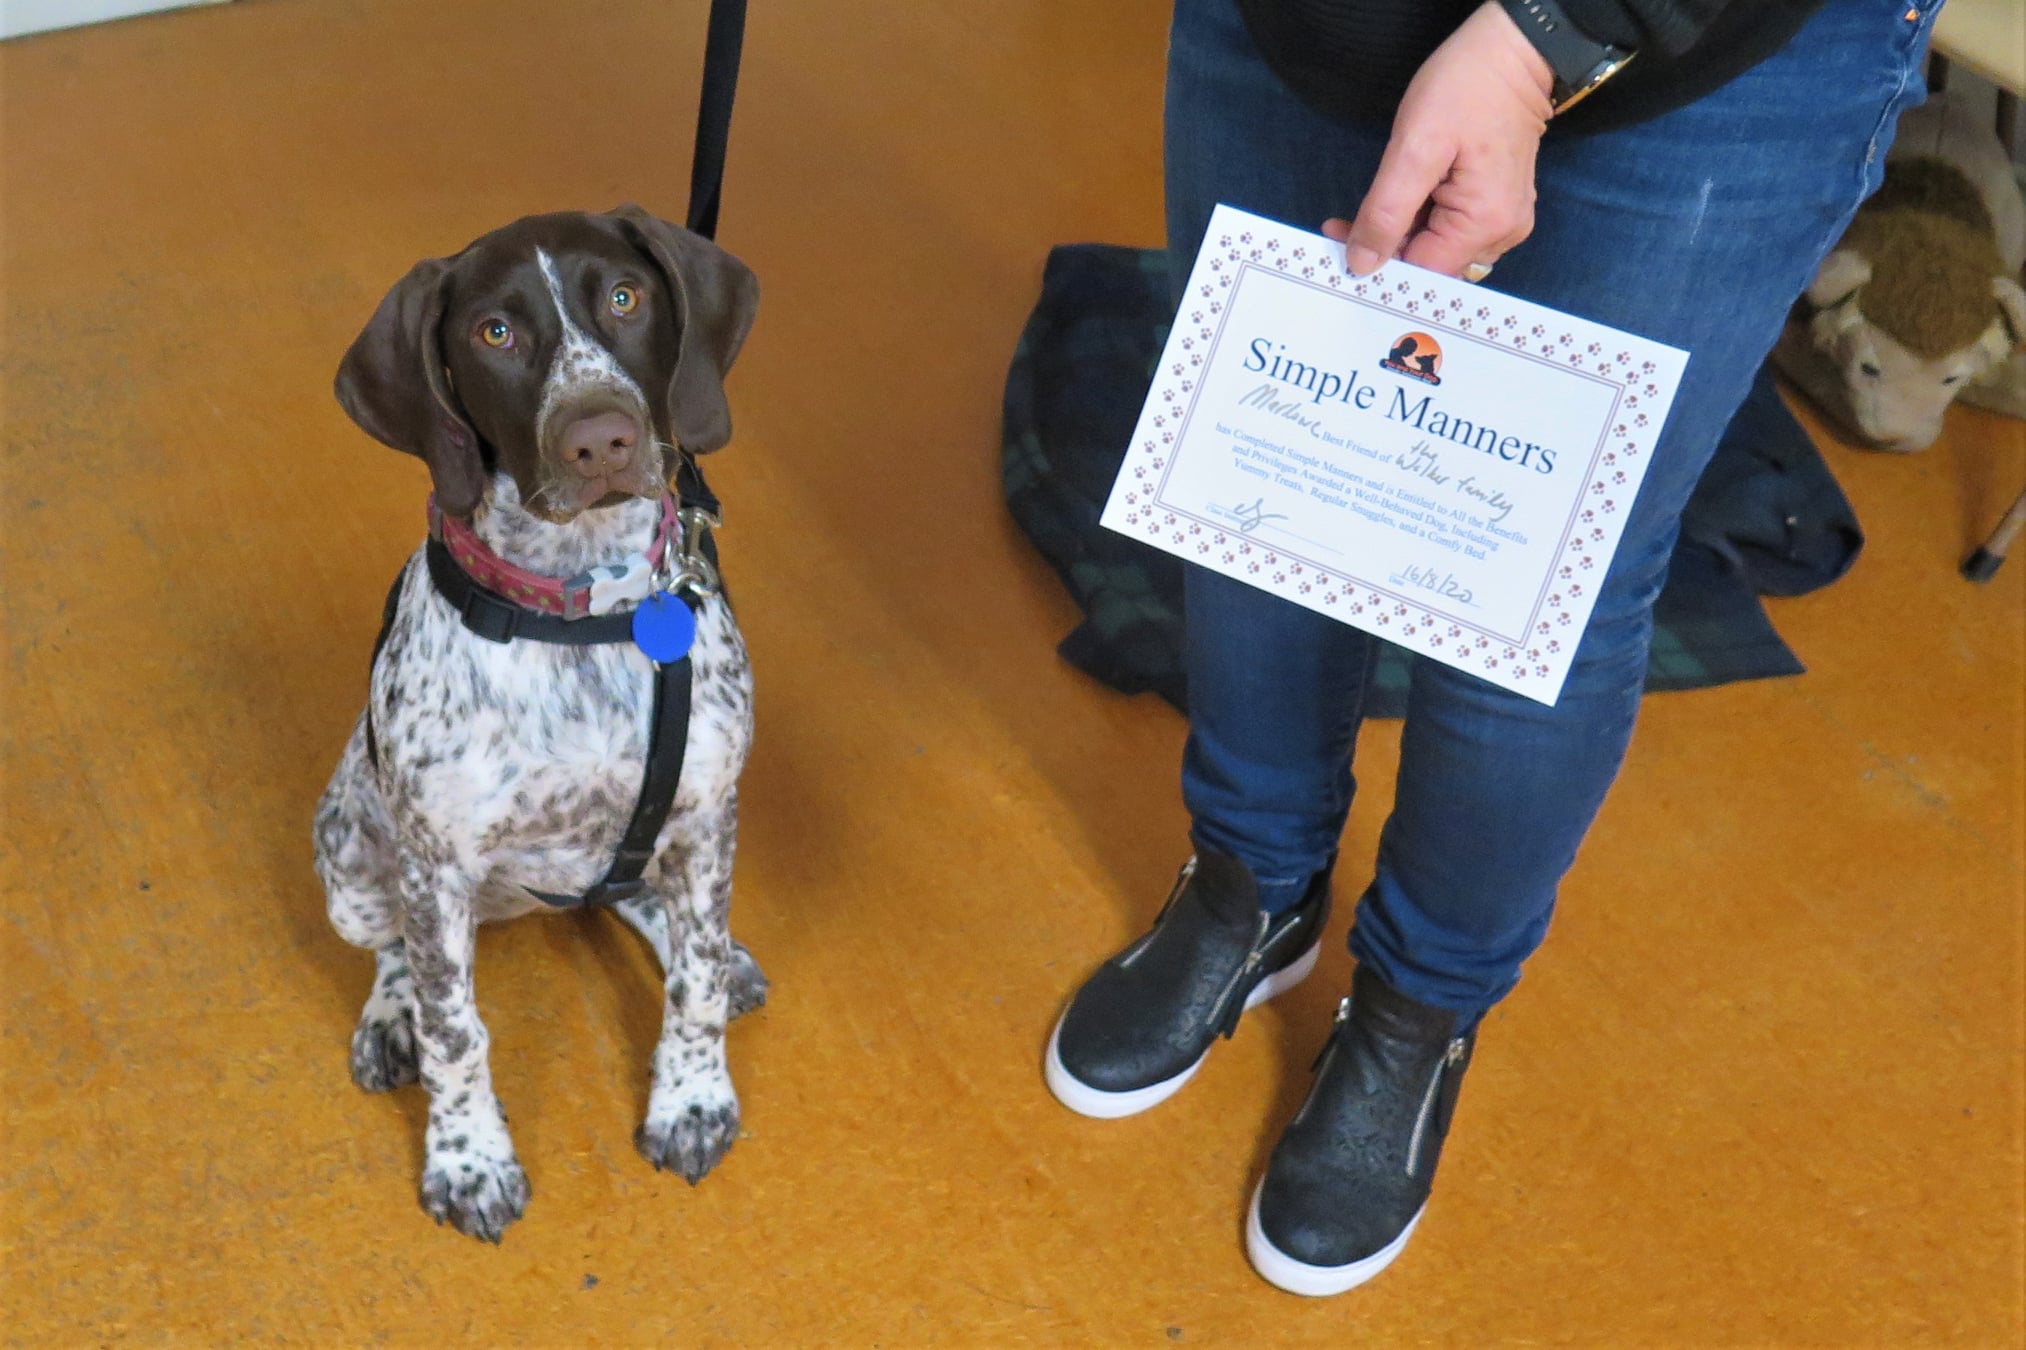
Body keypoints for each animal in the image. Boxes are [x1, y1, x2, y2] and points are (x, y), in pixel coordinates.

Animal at [312, 207, 761, 1240]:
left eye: (626, 297)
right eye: (495, 333)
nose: (602, 438)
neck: (585, 603)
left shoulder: (708, 809)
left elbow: (696, 978)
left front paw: (692, 1098)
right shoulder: (433, 864)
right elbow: (454, 1029)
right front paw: (469, 1159)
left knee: (646, 903)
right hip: (349, 852)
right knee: (395, 950)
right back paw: (389, 1015)